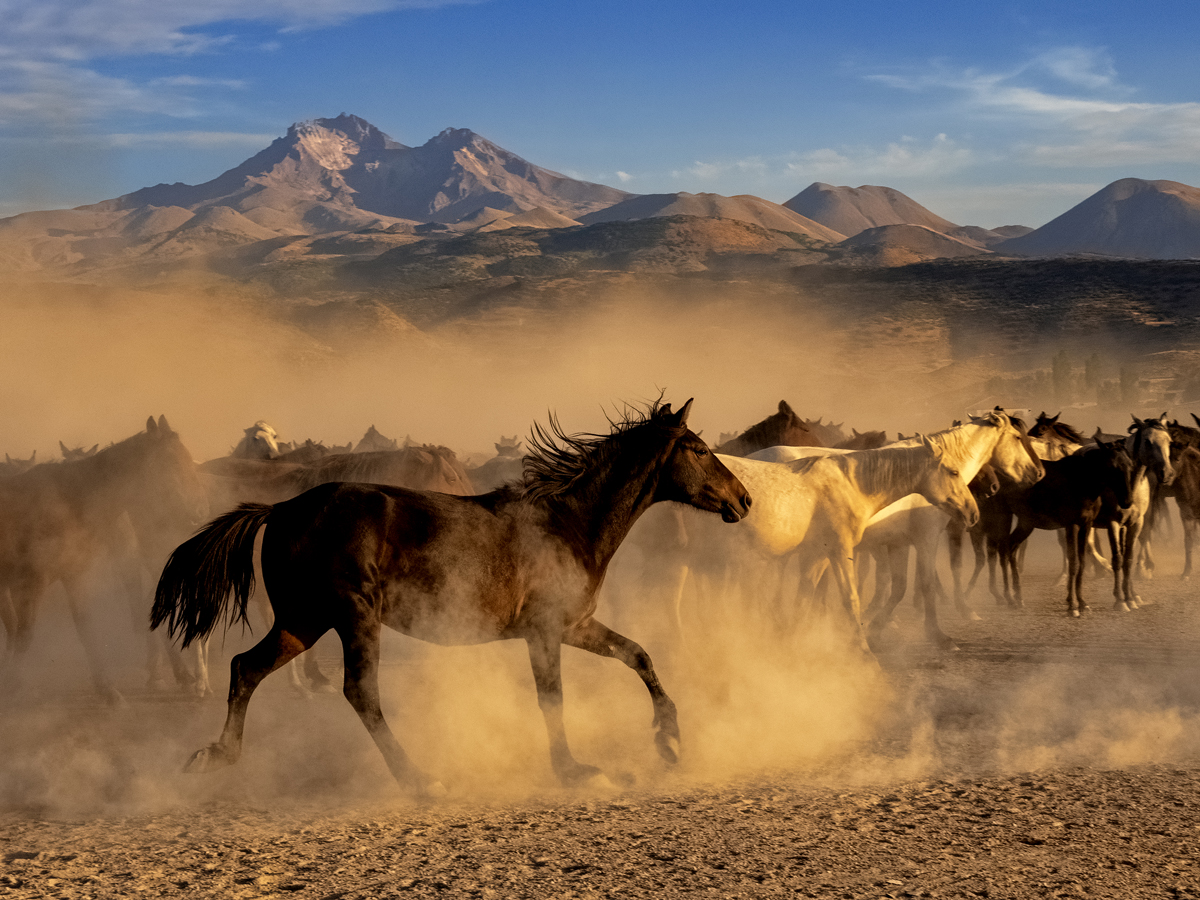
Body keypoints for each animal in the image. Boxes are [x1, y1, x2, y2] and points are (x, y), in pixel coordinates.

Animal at [0, 416, 208, 701]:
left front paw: (108, 691)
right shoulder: (31, 582)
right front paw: (13, 686)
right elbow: (23, 634)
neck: (71, 502)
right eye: (172, 461)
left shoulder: (74, 576)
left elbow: (87, 630)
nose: (198, 512)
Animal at [152, 399, 751, 794]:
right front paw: (576, 771)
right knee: (359, 692)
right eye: (699, 450)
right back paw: (419, 780)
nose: (744, 499)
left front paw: (669, 741)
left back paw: (215, 757)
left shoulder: (575, 626)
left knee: (245, 668)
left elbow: (639, 656)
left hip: (303, 621)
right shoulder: (544, 632)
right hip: (351, 617)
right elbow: (553, 699)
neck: (567, 523)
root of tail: (279, 510)